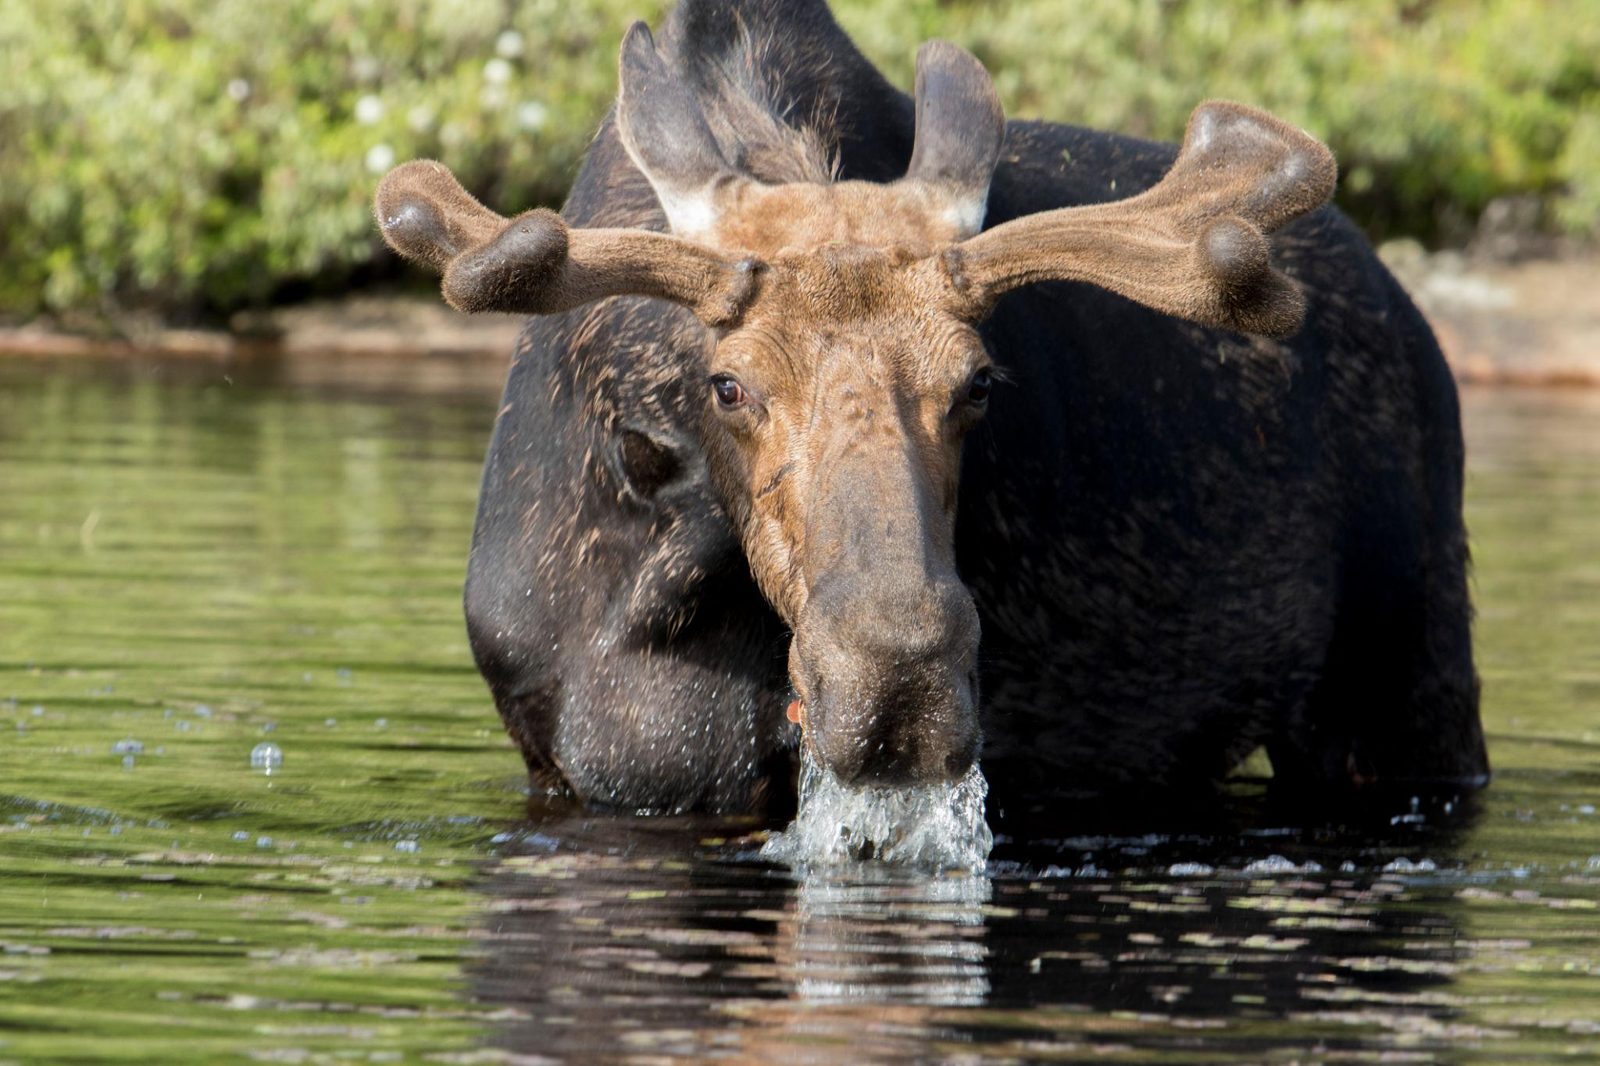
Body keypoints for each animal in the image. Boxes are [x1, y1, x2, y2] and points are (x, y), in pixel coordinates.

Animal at [374, 0, 1489, 829]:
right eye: (728, 384)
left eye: (978, 383)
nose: (896, 685)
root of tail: (1410, 313)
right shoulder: (557, 764)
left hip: (1408, 676)